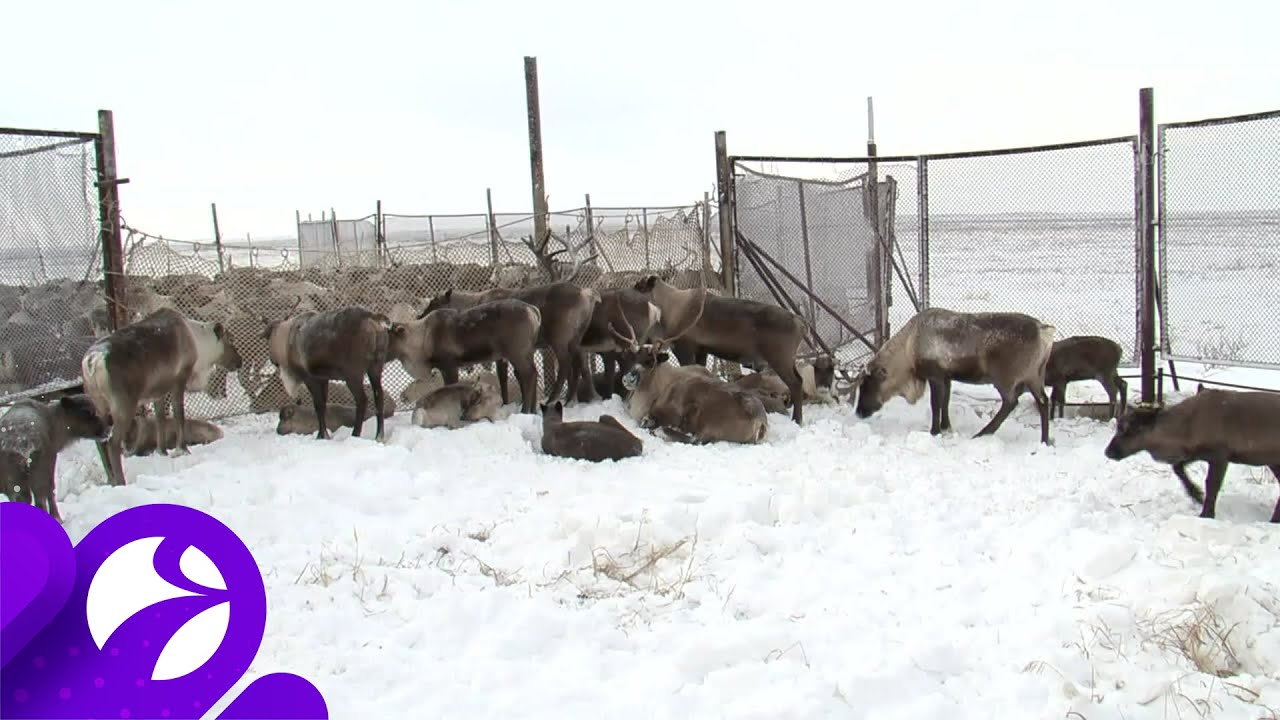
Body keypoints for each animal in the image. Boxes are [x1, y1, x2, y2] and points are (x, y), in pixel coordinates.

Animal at [0, 392, 111, 520]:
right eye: (86, 411)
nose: (107, 430)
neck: (53, 422)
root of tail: (20, 442)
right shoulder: (51, 459)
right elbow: (51, 489)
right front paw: (57, 517)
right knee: (39, 497)